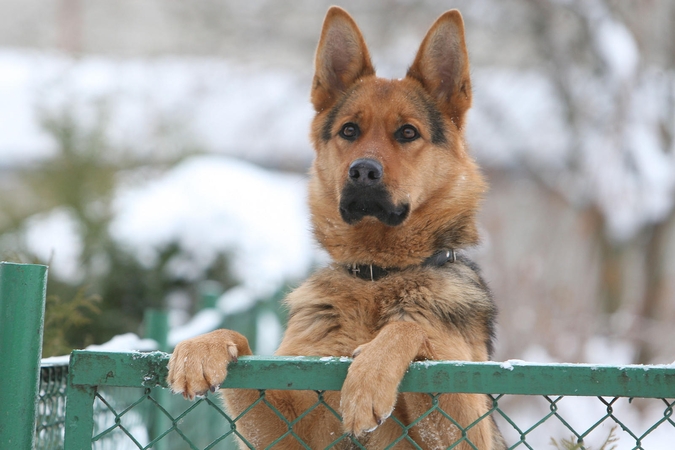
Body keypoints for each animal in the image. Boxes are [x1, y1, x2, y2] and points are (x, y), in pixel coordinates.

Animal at [169, 7, 508, 450]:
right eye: (349, 130)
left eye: (408, 132)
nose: (363, 171)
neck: (376, 276)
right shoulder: (291, 426)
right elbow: (238, 337)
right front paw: (201, 348)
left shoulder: (464, 421)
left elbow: (409, 327)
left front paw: (369, 379)